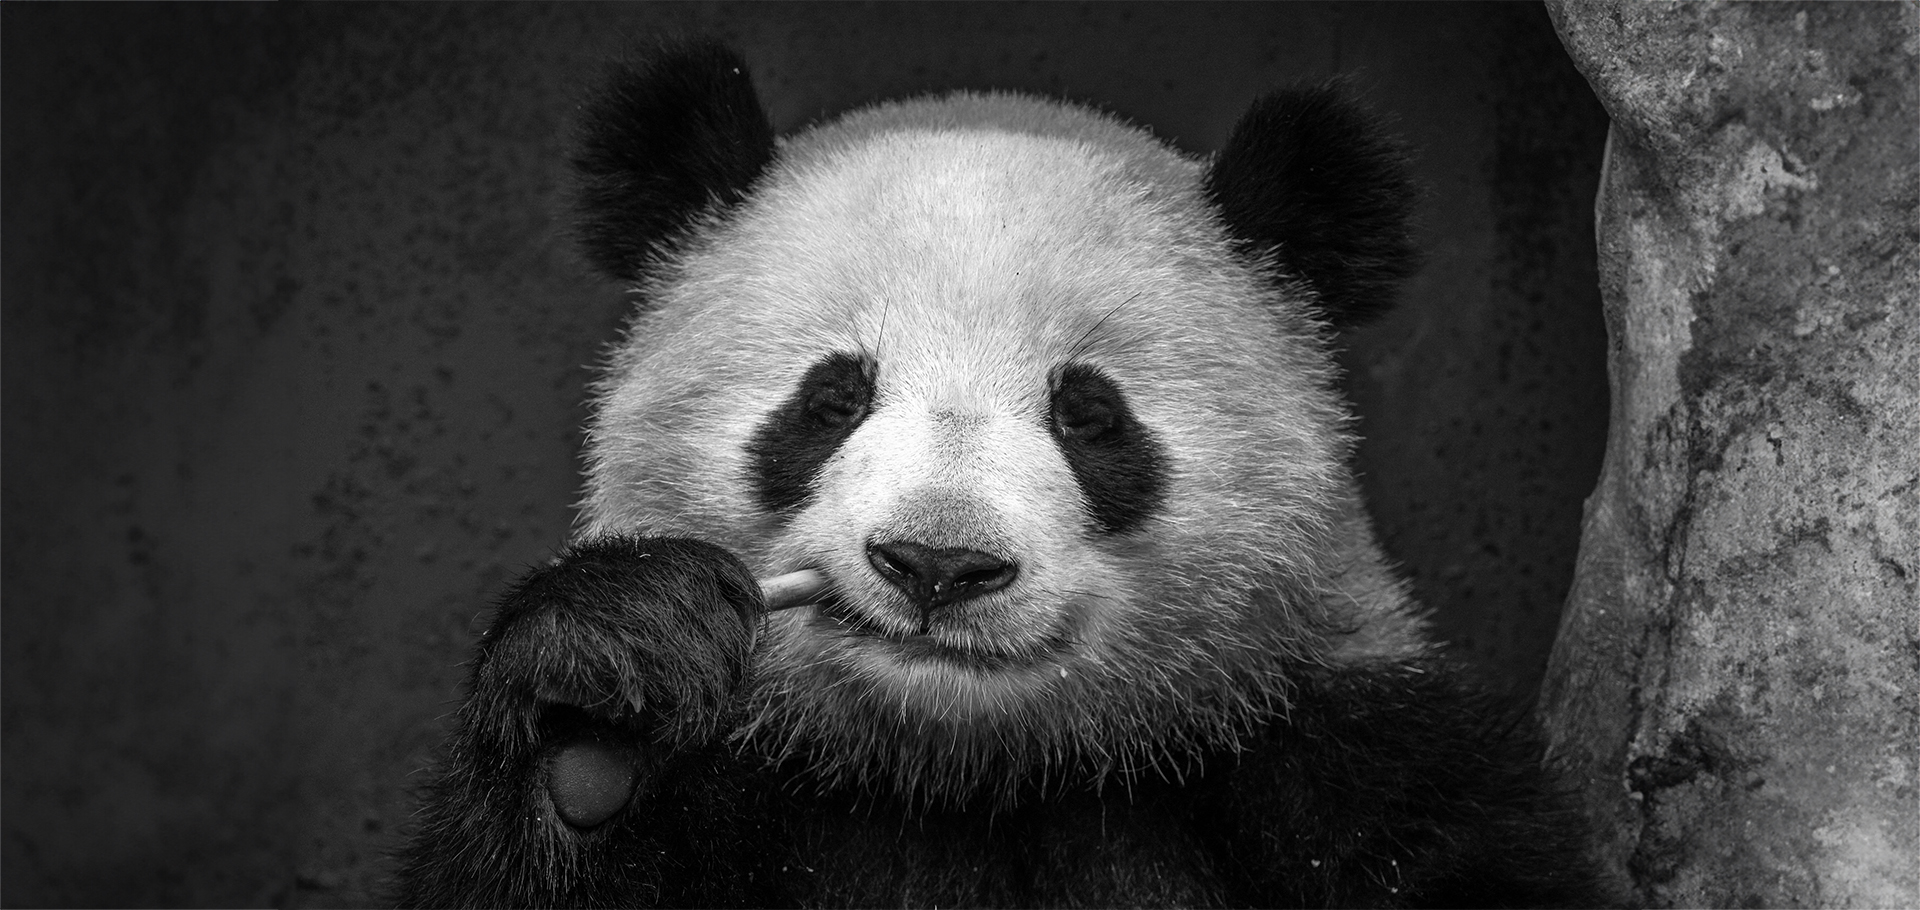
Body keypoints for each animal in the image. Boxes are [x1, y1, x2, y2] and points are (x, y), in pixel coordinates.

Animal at [393, 39, 1598, 908]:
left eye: (1091, 415)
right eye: (831, 400)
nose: (938, 564)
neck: (963, 774)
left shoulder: (1348, 758)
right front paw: (603, 703)